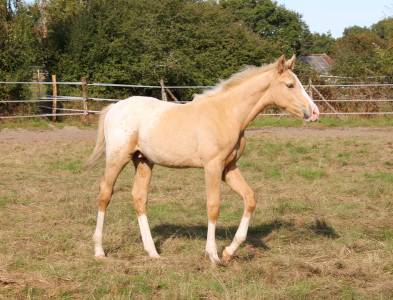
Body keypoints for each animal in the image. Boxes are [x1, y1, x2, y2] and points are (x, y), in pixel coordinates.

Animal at [86, 55, 318, 264]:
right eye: (290, 85)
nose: (314, 112)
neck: (227, 113)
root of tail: (114, 108)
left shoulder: (229, 168)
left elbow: (250, 198)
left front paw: (228, 252)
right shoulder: (212, 166)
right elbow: (213, 206)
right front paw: (213, 255)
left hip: (143, 161)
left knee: (139, 197)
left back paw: (152, 252)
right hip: (118, 158)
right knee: (105, 194)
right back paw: (99, 251)